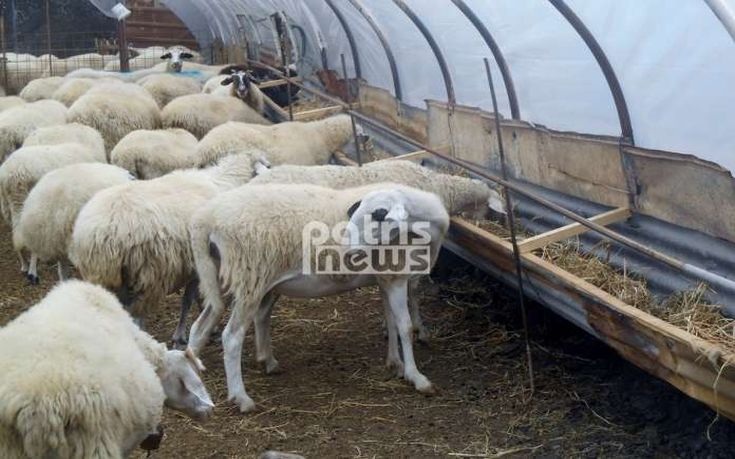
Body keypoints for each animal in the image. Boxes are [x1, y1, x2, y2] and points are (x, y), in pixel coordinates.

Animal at [68, 154, 270, 344]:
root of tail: (103, 232)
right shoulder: (198, 264)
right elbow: (189, 299)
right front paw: (183, 334)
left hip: (105, 277)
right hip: (147, 275)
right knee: (137, 315)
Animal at [185, 183, 448, 414]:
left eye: (378, 214)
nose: (346, 249)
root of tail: (204, 219)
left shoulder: (386, 277)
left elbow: (391, 322)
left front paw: (395, 363)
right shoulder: (397, 276)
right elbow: (405, 327)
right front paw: (417, 378)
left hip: (222, 277)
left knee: (200, 326)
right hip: (250, 277)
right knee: (231, 337)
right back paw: (242, 398)